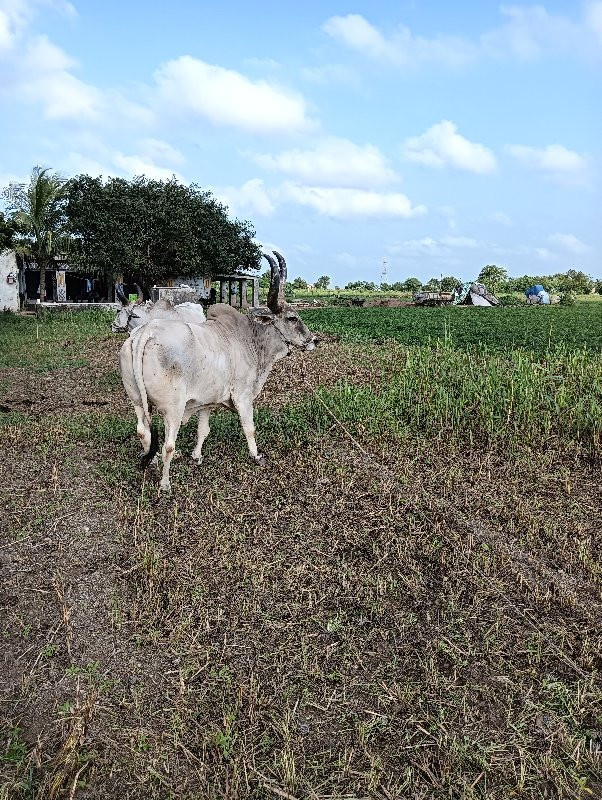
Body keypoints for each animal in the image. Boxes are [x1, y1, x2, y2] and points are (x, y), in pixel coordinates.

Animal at [116, 250, 314, 490]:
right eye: (292, 318)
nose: (313, 340)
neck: (251, 340)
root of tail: (146, 332)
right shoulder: (243, 395)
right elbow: (249, 427)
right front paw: (256, 456)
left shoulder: (205, 402)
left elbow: (203, 430)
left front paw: (197, 456)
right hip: (173, 408)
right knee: (168, 445)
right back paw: (165, 483)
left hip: (137, 401)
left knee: (143, 432)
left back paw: (151, 462)